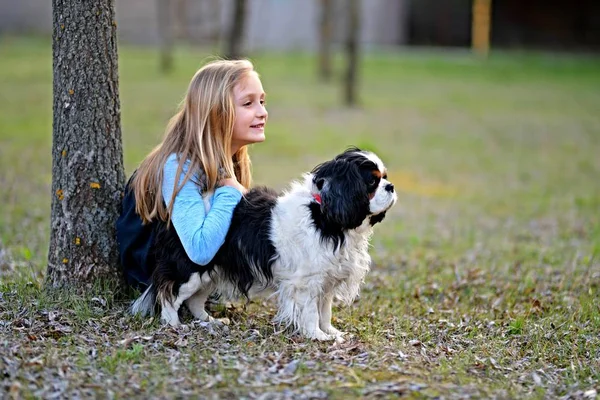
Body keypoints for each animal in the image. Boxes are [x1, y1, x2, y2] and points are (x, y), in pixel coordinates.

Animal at [134, 148, 398, 342]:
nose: (391, 186)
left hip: (210, 272)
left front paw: (330, 332)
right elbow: (311, 312)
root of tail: (170, 213)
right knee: (169, 293)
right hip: (191, 269)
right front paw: (317, 336)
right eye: (372, 183)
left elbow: (325, 311)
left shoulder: (326, 281)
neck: (325, 215)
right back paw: (173, 324)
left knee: (194, 300)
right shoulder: (306, 283)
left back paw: (210, 322)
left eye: (384, 178)